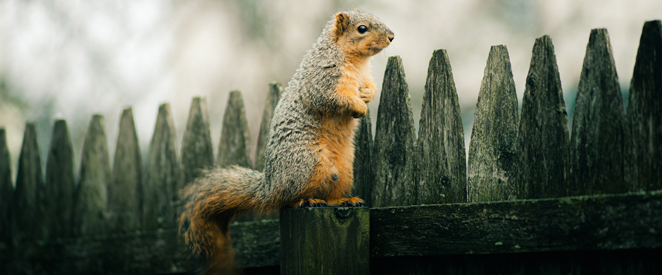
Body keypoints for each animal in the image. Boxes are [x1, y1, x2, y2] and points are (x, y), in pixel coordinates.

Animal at [178, 9, 394, 275]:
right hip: (307, 163)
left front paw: (366, 96)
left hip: (343, 170)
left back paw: (344, 200)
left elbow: (370, 88)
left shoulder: (364, 77)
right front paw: (358, 107)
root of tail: (270, 187)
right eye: (362, 29)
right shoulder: (322, 81)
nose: (391, 36)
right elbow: (333, 99)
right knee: (288, 201)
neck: (355, 60)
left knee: (328, 195)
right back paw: (307, 200)